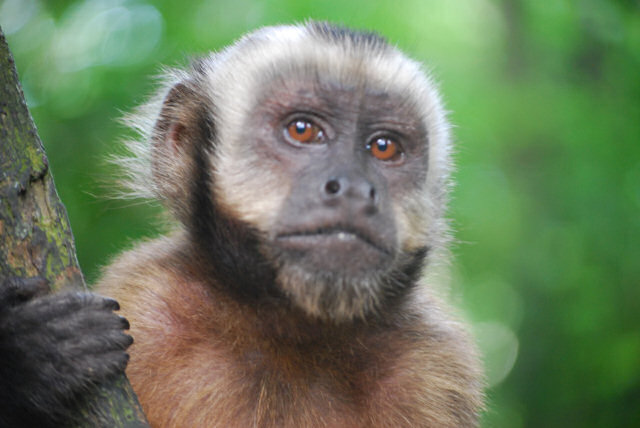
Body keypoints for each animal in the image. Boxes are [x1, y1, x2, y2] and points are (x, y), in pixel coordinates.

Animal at [97, 21, 482, 426]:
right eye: (302, 129)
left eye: (384, 147)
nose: (354, 188)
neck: (289, 325)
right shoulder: (148, 302)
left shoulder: (435, 358)